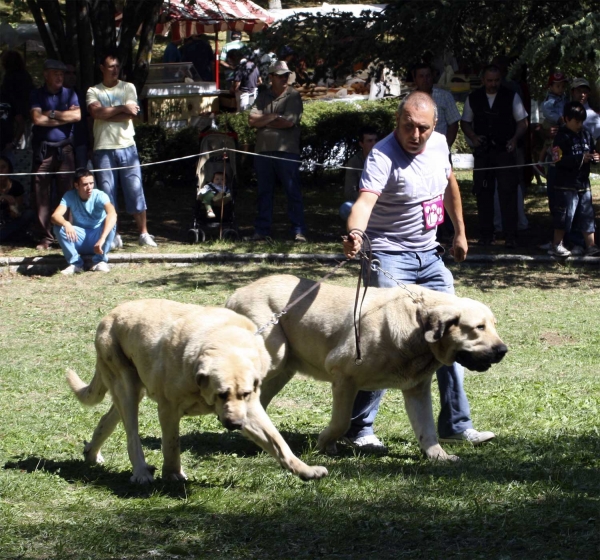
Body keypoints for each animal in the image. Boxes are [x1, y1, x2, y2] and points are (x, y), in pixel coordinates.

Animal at [67, 300, 328, 484]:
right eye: (221, 393)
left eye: (244, 394)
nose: (235, 424)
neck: (225, 342)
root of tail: (108, 317)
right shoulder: (168, 408)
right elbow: (172, 444)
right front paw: (173, 474)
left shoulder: (251, 409)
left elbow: (278, 442)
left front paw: (305, 470)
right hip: (126, 387)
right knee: (131, 435)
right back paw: (141, 471)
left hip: (130, 388)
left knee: (107, 419)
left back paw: (91, 454)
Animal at [225, 274, 506, 462]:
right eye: (478, 327)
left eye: (493, 325)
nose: (503, 350)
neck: (417, 324)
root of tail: (235, 293)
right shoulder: (344, 377)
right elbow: (340, 422)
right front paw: (324, 444)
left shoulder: (417, 390)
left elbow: (426, 428)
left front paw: (438, 455)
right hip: (276, 356)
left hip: (283, 369)